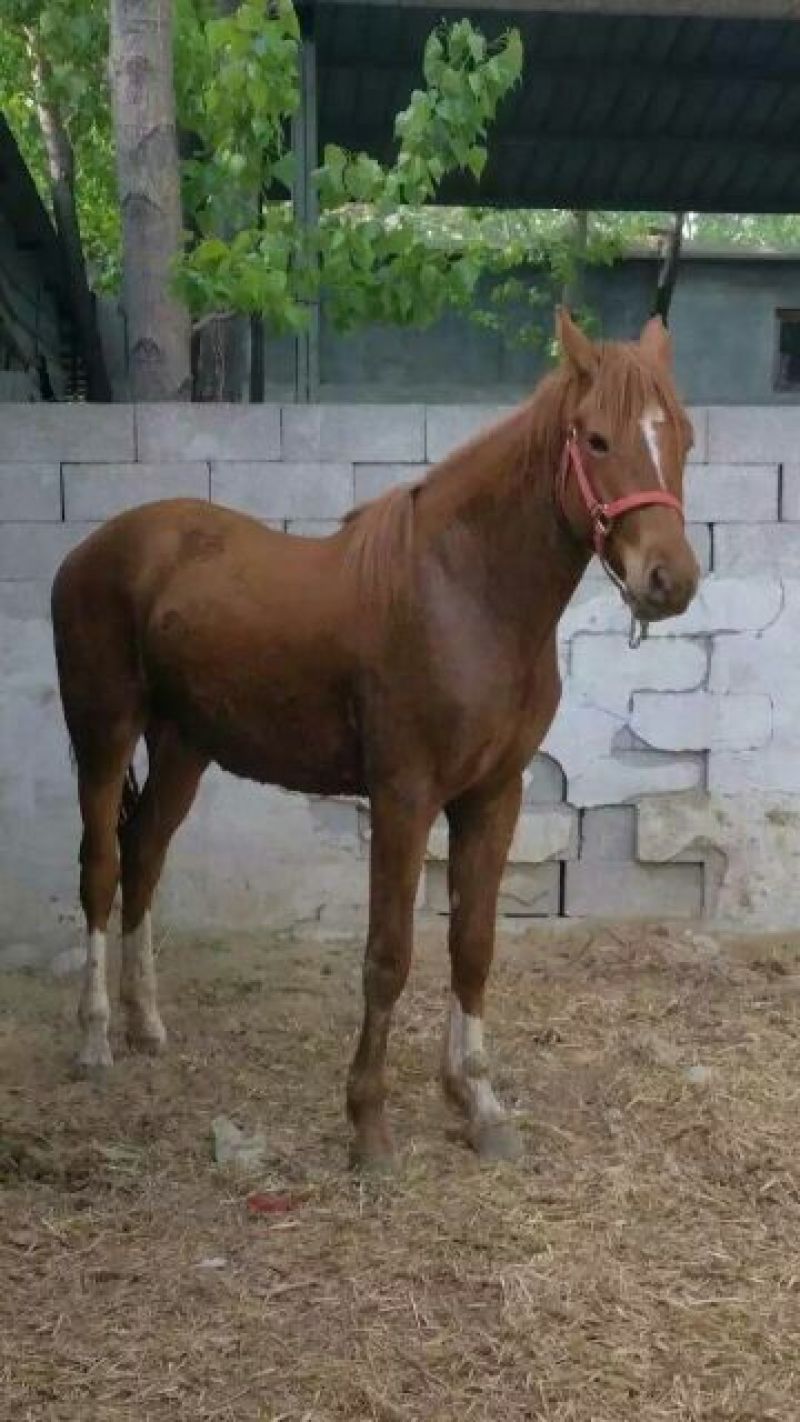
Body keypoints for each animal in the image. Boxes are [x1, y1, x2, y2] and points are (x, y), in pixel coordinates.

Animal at [51, 309, 699, 1170]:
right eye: (595, 439)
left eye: (683, 436)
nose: (670, 579)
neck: (465, 595)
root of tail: (92, 551)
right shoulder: (404, 797)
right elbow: (388, 956)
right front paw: (369, 1125)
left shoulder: (493, 796)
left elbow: (473, 943)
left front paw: (479, 1105)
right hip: (103, 733)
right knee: (101, 867)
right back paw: (94, 1040)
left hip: (184, 745)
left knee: (144, 855)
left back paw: (146, 1025)